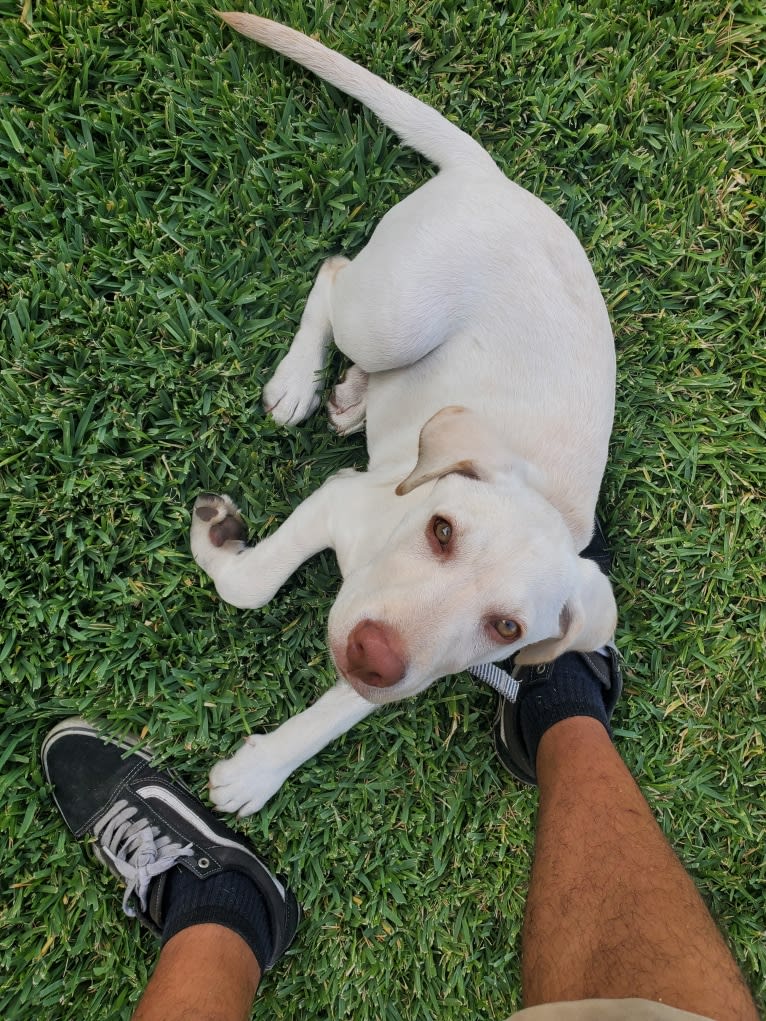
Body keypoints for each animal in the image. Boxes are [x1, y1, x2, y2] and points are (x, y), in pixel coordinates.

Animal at [190, 11, 616, 816]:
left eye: (507, 628)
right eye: (442, 530)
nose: (371, 654)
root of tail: (491, 177)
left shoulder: (413, 666)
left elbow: (335, 710)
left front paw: (261, 770)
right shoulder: (337, 499)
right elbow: (247, 584)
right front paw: (218, 540)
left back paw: (354, 398)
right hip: (393, 314)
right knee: (333, 273)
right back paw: (300, 383)